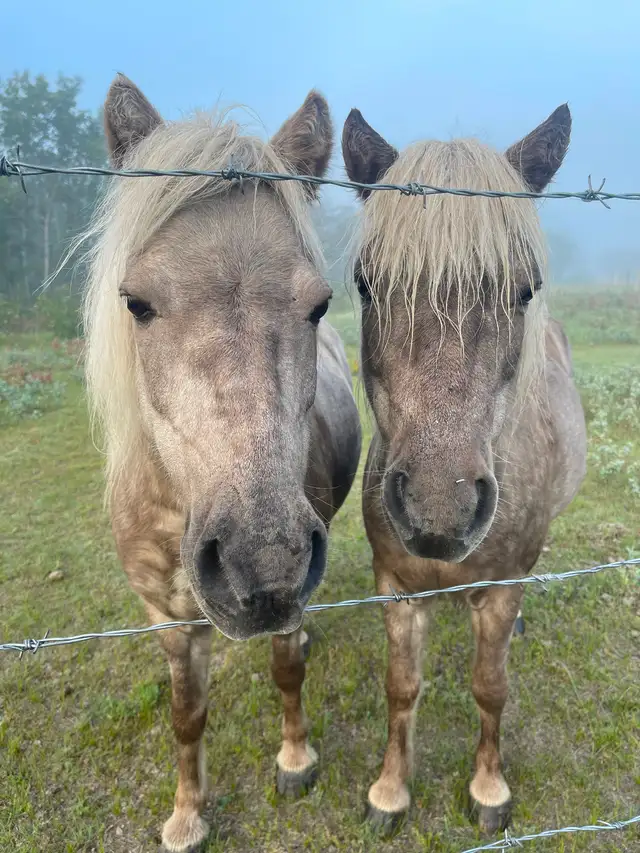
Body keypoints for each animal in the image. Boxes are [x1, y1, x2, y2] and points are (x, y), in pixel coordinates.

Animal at [82, 74, 362, 852]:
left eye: (320, 304)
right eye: (136, 302)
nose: (262, 566)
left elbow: (287, 669)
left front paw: (295, 758)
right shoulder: (168, 621)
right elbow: (186, 716)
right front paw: (186, 814)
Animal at [341, 105, 587, 834]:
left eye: (525, 289)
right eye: (366, 284)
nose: (438, 509)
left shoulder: (502, 586)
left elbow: (490, 686)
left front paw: (488, 788)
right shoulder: (395, 587)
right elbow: (401, 687)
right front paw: (390, 790)